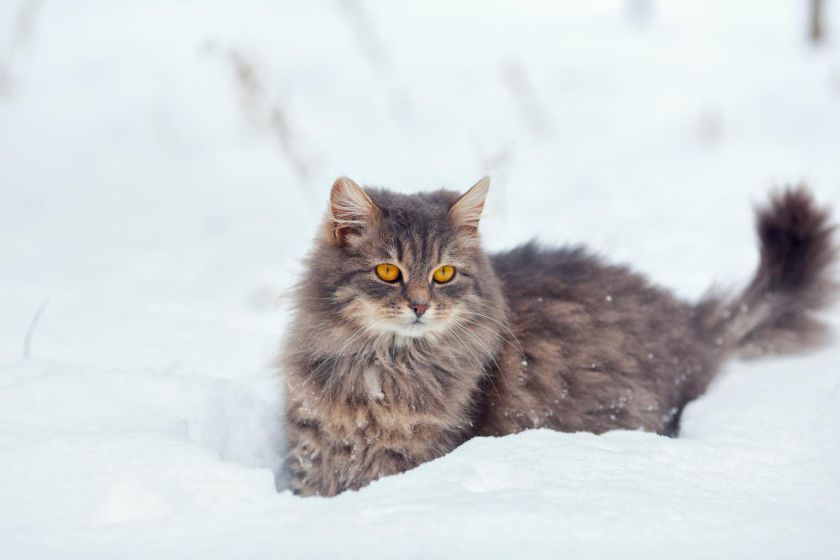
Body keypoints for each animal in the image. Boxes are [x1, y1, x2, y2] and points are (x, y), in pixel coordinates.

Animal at [280, 177, 832, 496]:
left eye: (444, 274)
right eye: (388, 272)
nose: (419, 306)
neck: (383, 368)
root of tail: (689, 320)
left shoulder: (414, 457)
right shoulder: (316, 457)